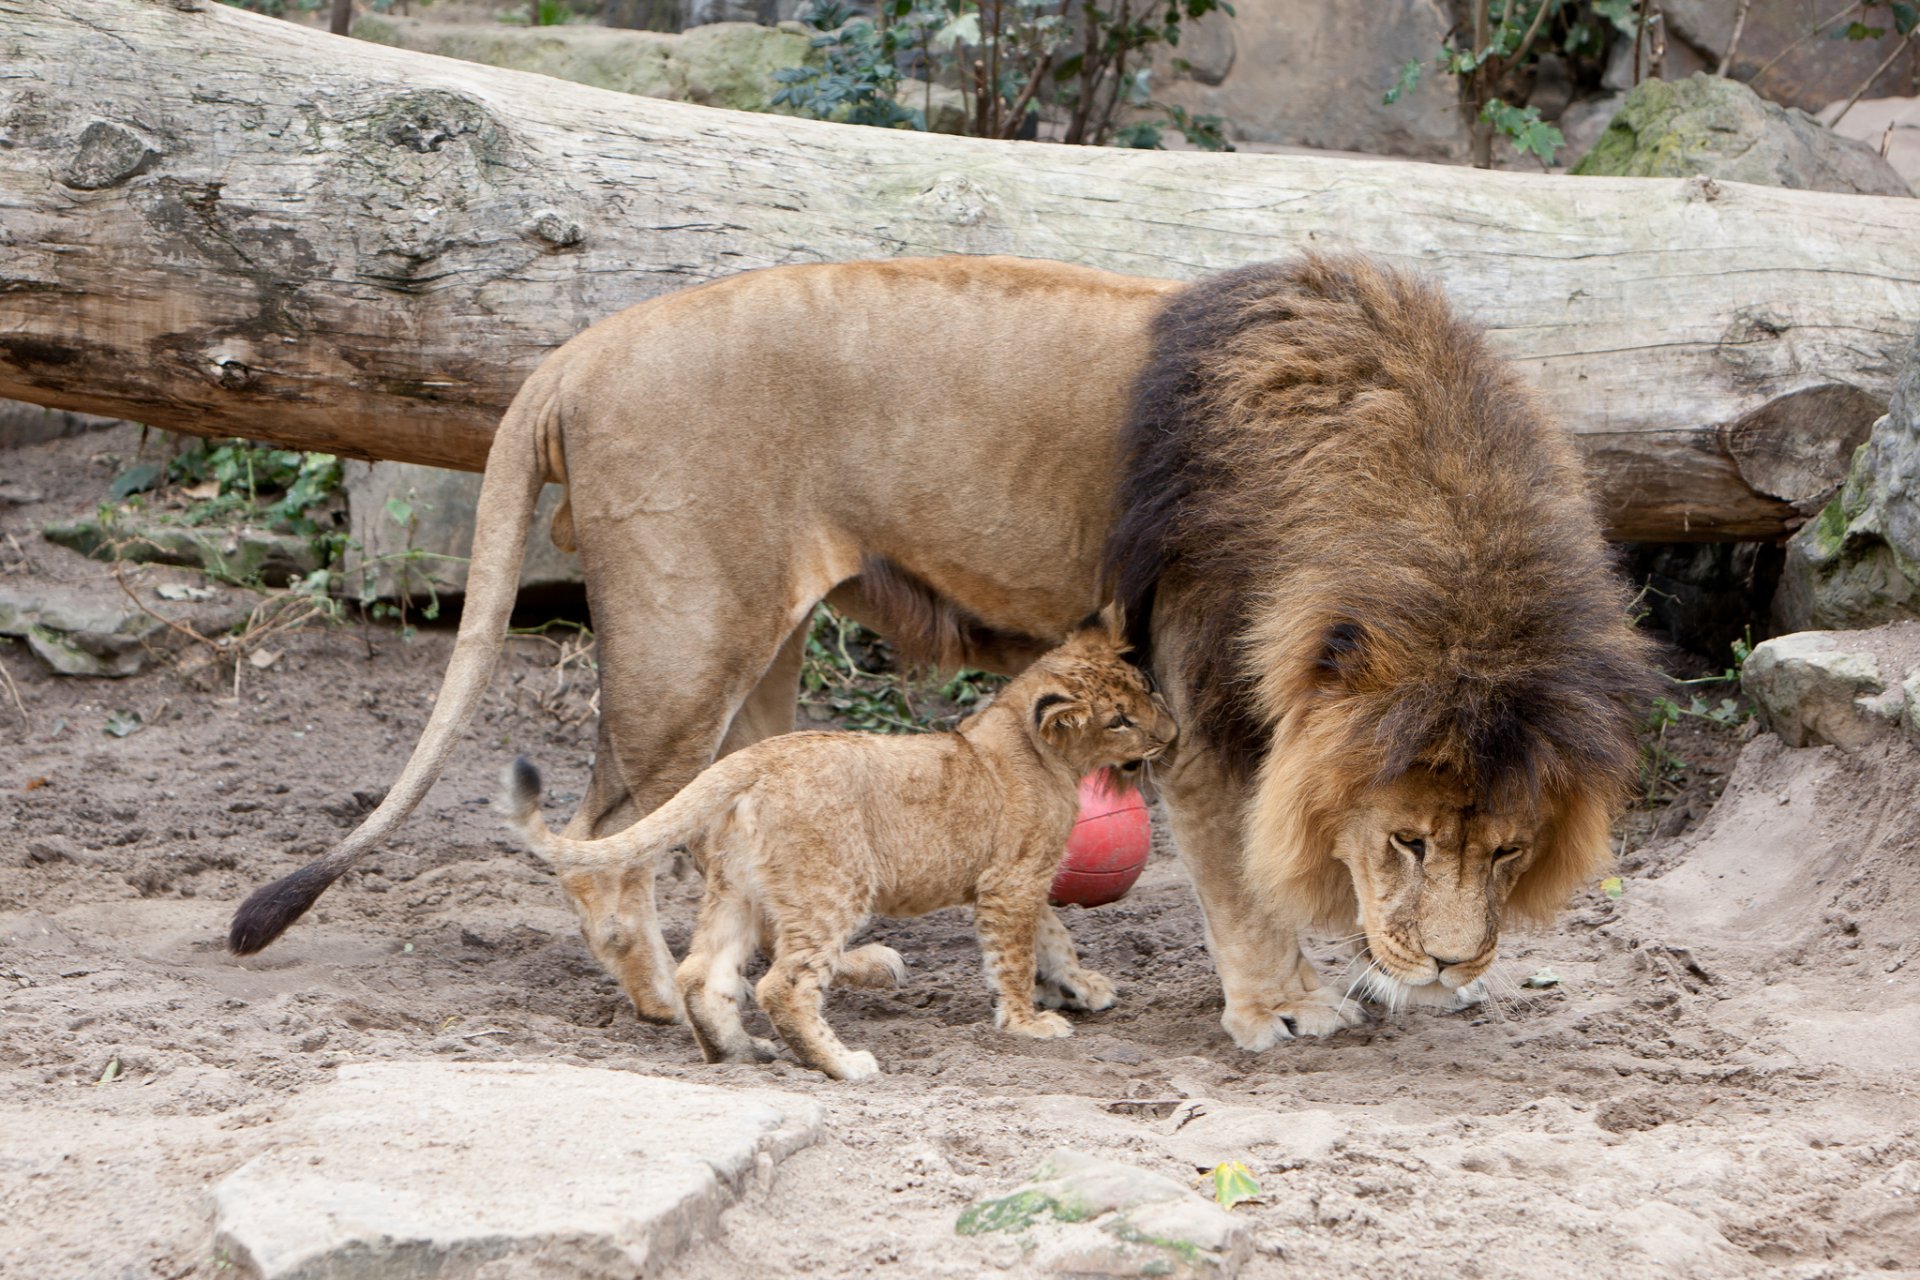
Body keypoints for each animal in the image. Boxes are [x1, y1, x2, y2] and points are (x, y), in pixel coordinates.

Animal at [494, 608, 1175, 1080]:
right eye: (1119, 720)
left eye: (1145, 689)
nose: (1170, 733)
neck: (1028, 738)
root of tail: (755, 757)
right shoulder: (1011, 881)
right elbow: (1015, 954)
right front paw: (1028, 1023)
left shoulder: (1017, 879)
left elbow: (1052, 934)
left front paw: (1081, 985)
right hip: (833, 888)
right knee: (783, 986)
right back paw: (843, 1064)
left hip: (739, 889)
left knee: (701, 974)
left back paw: (740, 1053)